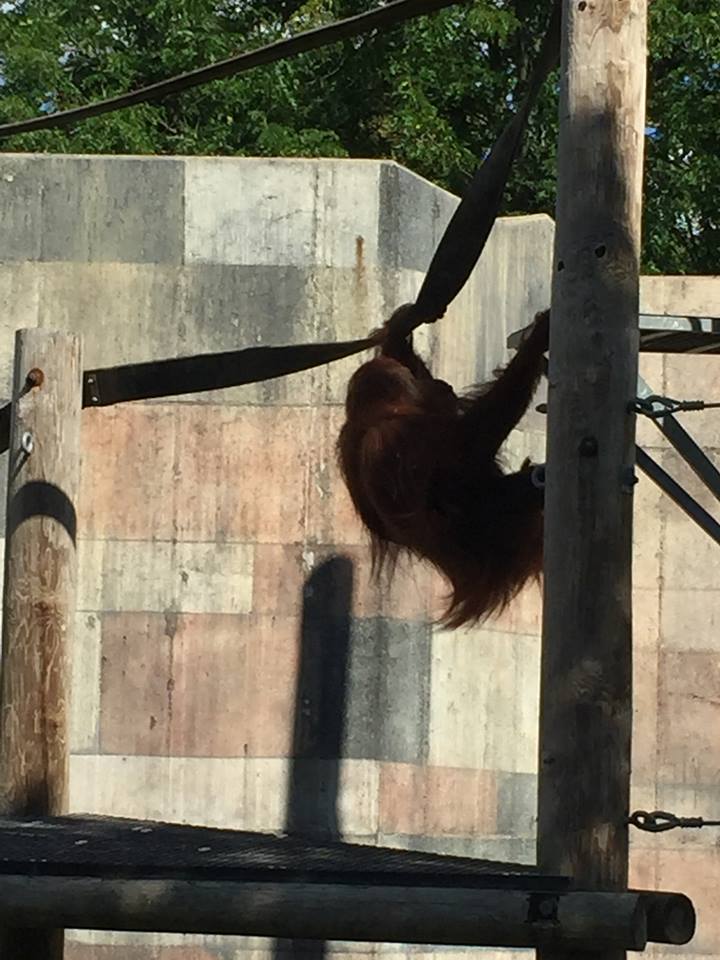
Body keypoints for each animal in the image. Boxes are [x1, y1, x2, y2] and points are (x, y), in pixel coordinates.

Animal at [337, 306, 549, 628]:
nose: (441, 385)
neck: (372, 416)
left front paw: (399, 328)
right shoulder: (401, 434)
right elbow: (467, 447)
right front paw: (538, 339)